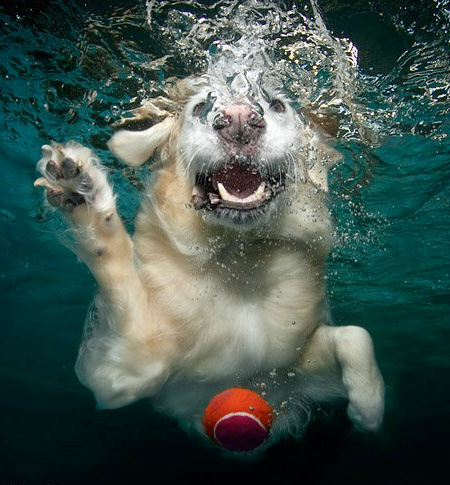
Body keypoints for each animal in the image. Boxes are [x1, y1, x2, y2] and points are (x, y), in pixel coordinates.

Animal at [34, 48, 384, 446]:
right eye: (201, 106)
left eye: (277, 105)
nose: (239, 121)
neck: (241, 264)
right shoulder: (121, 372)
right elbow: (118, 270)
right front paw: (84, 197)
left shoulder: (290, 376)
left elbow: (357, 336)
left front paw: (369, 405)